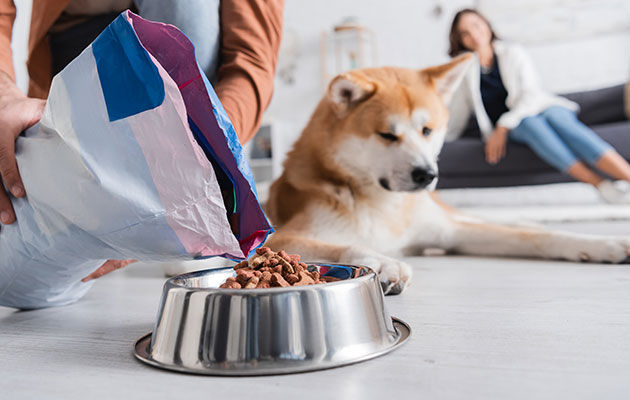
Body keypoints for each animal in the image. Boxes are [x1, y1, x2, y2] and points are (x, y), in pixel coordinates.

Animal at [266, 54, 630, 294]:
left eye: (427, 130)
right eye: (387, 135)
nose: (426, 175)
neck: (388, 207)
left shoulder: (451, 232)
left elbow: (537, 239)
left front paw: (603, 244)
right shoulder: (285, 237)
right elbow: (344, 246)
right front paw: (383, 263)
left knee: (499, 222)